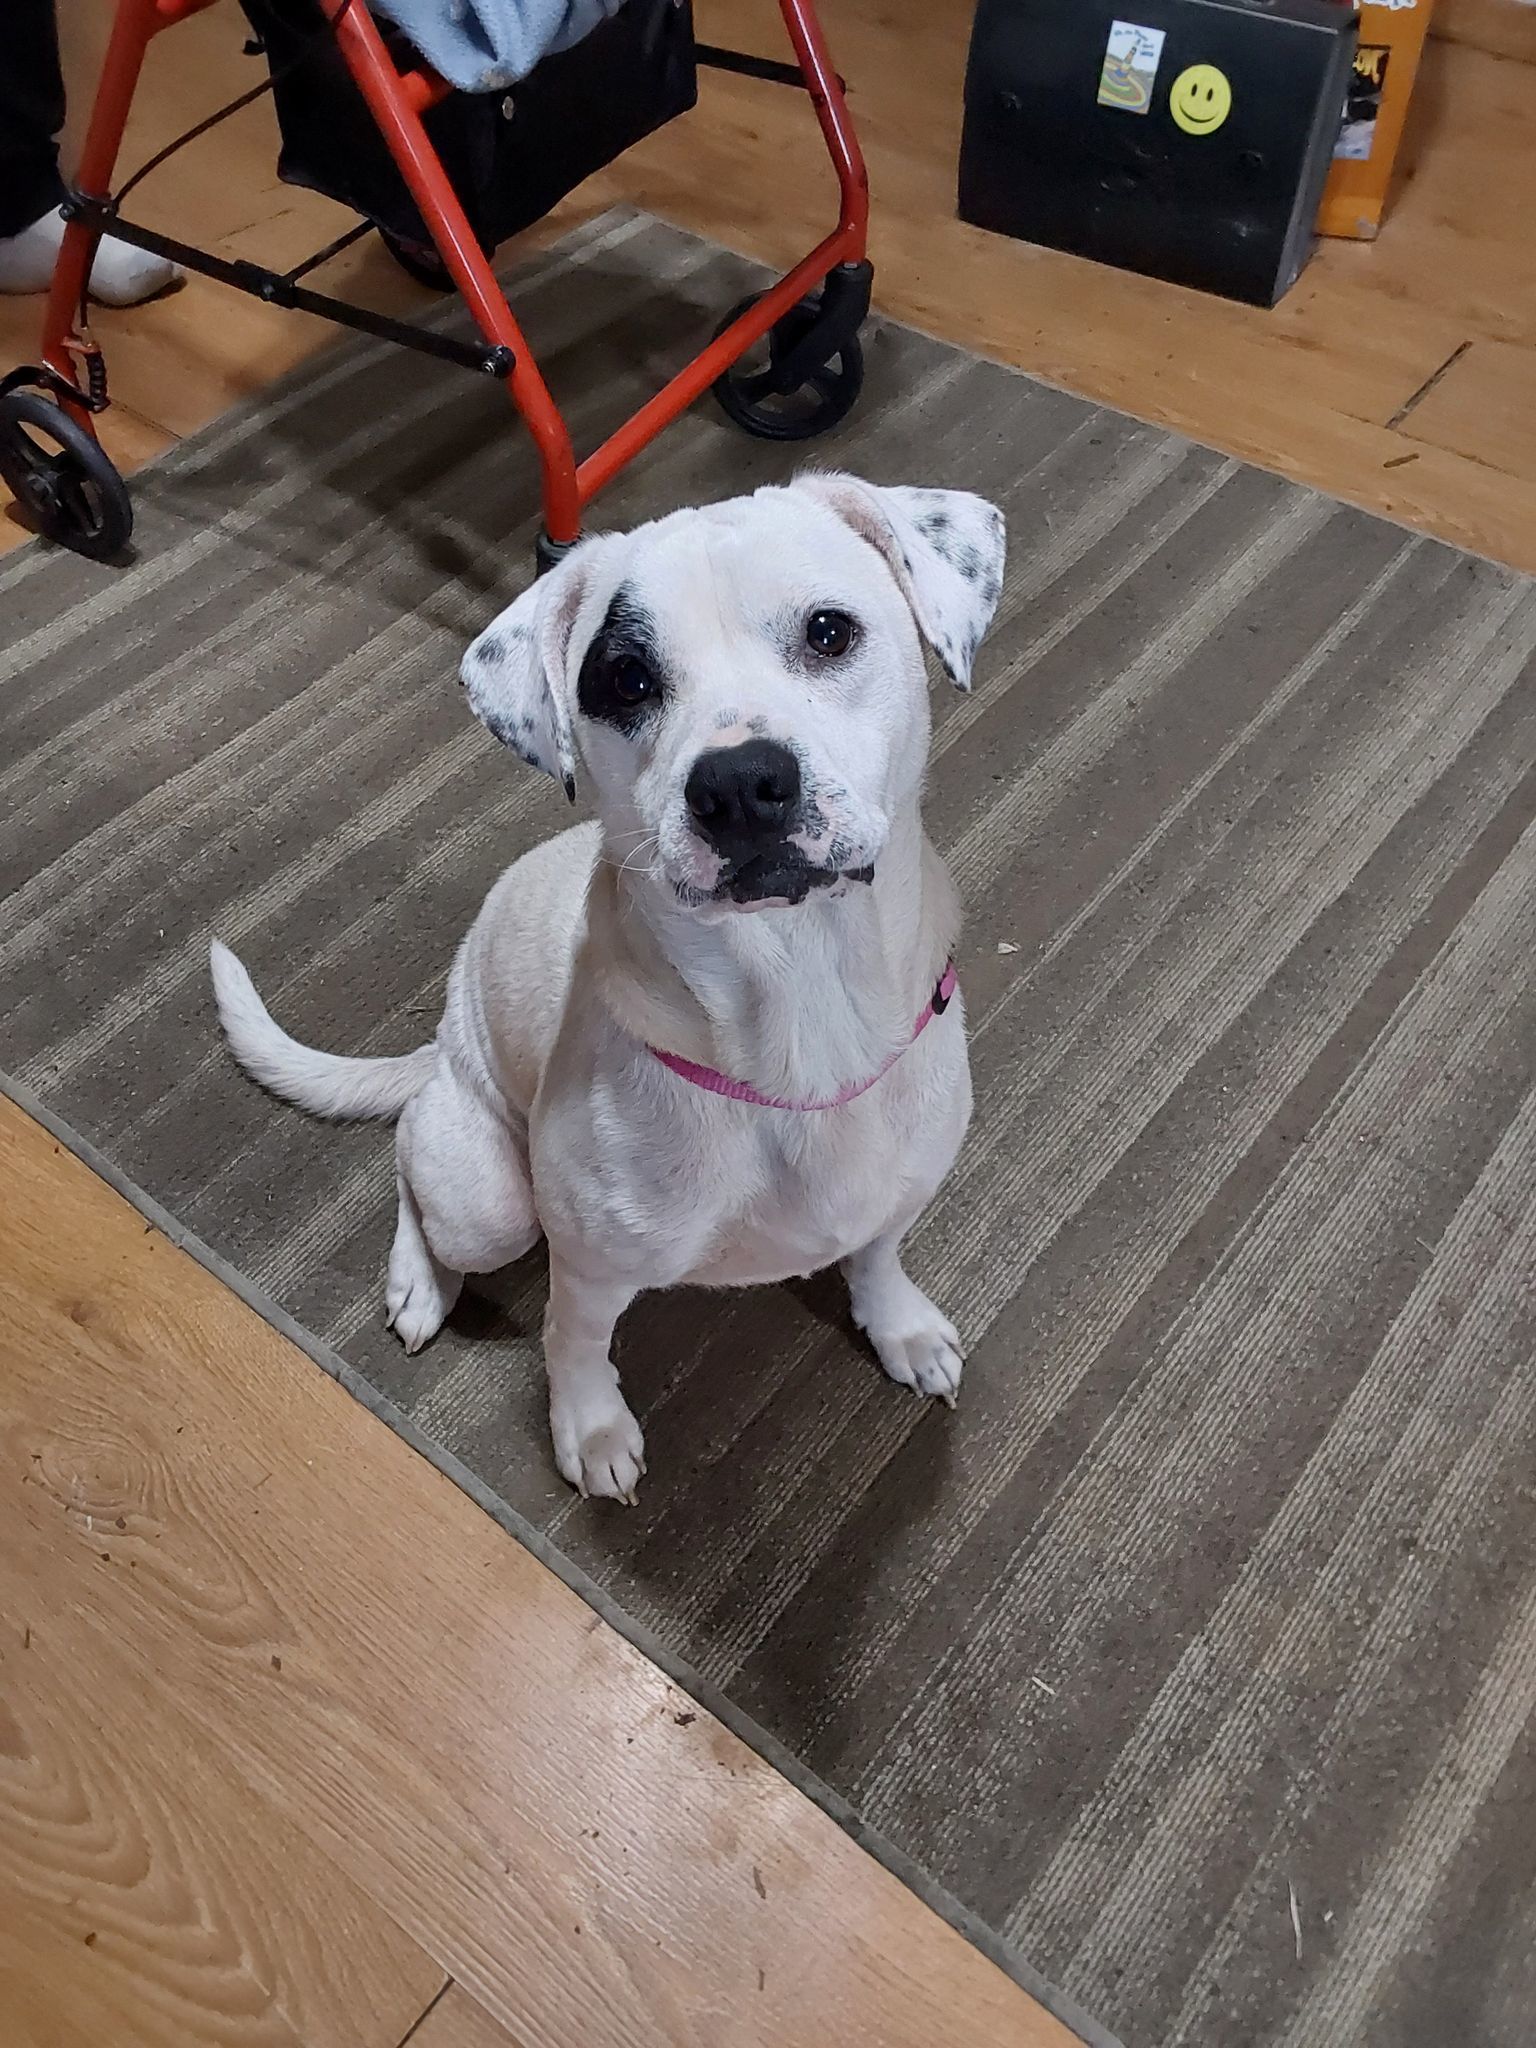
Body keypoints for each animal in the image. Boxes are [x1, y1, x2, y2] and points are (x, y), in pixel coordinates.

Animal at [217, 479, 1011, 1507]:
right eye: (626, 680)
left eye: (830, 632)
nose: (740, 783)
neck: (799, 1014)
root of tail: (443, 1046)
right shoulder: (591, 1268)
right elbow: (575, 1344)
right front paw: (590, 1429)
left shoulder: (900, 1191)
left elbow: (876, 1255)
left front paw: (899, 1325)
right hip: (492, 1204)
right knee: (411, 1166)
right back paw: (419, 1283)